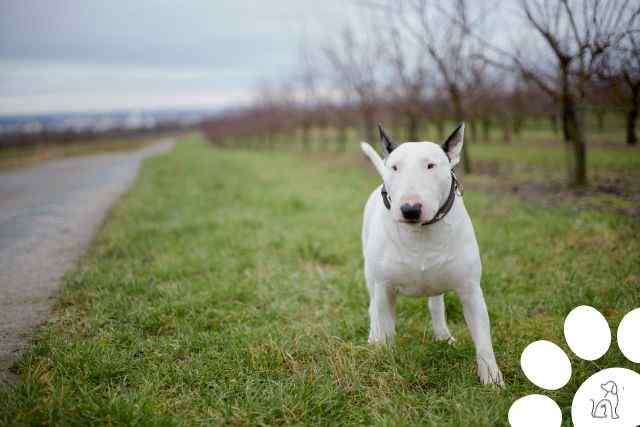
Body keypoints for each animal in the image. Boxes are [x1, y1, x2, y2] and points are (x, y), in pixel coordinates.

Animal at [362, 124, 502, 388]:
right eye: (395, 167)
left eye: (430, 165)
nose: (410, 209)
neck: (421, 233)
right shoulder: (385, 287)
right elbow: (385, 326)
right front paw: (384, 360)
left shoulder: (470, 290)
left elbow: (483, 339)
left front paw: (492, 378)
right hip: (371, 276)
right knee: (373, 307)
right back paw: (373, 339)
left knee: (435, 305)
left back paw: (443, 336)